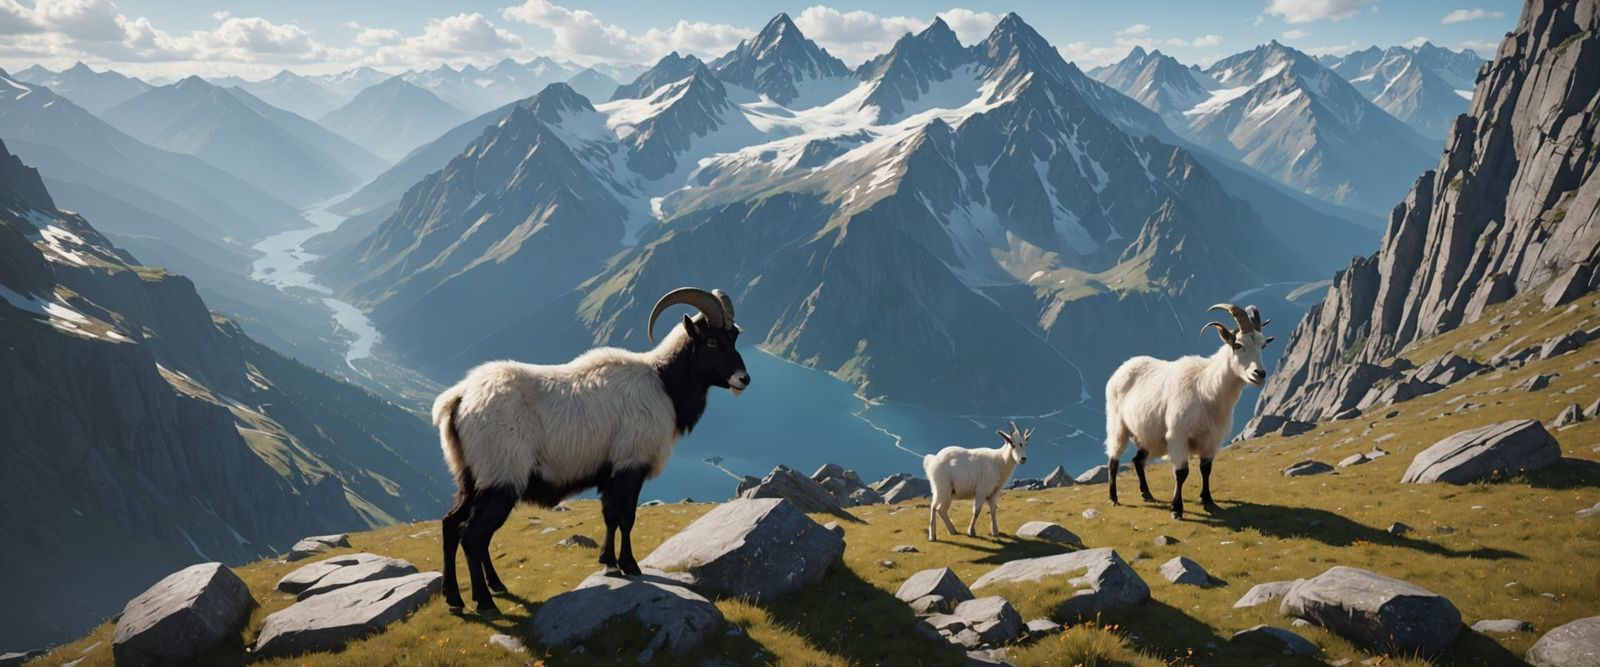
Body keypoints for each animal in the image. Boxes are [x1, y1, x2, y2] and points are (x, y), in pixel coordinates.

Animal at [432, 287, 751, 614]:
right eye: (711, 340)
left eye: (734, 338)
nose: (744, 379)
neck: (663, 382)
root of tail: (459, 399)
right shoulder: (631, 464)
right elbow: (626, 517)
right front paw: (630, 565)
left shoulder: (611, 472)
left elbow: (609, 515)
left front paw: (608, 562)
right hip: (501, 478)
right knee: (473, 536)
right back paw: (484, 602)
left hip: (471, 479)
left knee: (451, 525)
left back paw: (462, 596)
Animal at [1104, 304, 1273, 519]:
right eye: (1238, 345)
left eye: (1263, 345)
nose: (1260, 374)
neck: (1206, 389)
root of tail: (1123, 367)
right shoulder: (1178, 435)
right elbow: (1181, 473)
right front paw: (1177, 509)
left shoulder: (1211, 439)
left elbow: (1206, 469)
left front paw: (1208, 500)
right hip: (1118, 424)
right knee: (1113, 460)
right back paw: (1113, 498)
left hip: (1148, 434)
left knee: (1138, 460)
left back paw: (1147, 494)